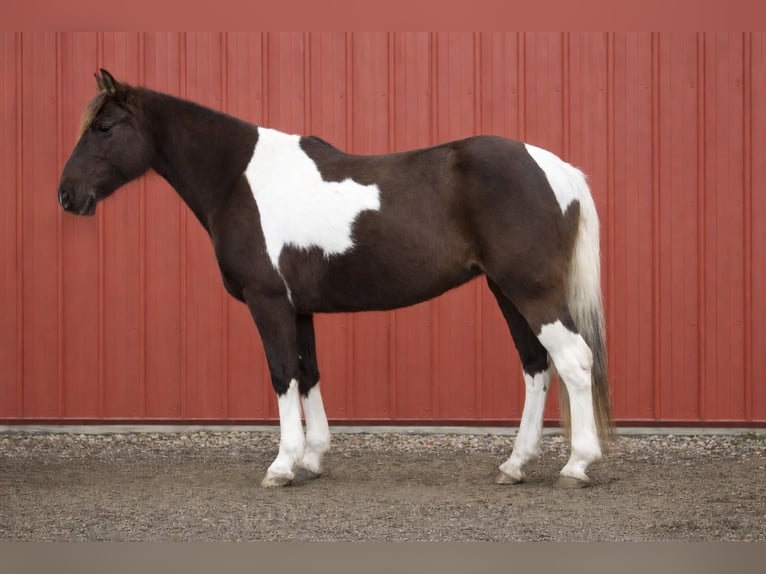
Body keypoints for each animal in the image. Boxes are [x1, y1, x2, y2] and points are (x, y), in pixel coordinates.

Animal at [58, 69, 613, 488]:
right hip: (506, 290)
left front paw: (282, 465)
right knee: (537, 366)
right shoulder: (298, 306)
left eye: (104, 127)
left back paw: (577, 466)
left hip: (530, 290)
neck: (239, 178)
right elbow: (309, 374)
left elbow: (282, 374)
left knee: (574, 360)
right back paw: (514, 465)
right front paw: (312, 459)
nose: (67, 194)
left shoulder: (268, 302)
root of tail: (556, 169)